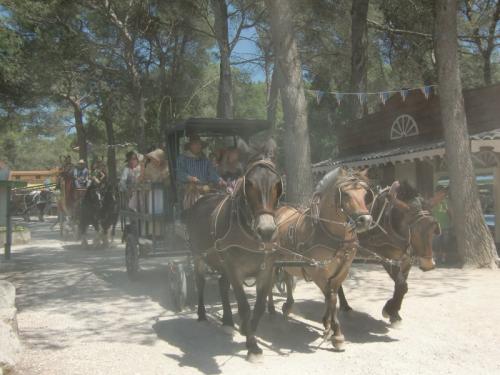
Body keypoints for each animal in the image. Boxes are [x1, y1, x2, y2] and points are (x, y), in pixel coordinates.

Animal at [186, 140, 284, 362]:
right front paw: (253, 346)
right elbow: (245, 306)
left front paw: (247, 332)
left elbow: (259, 306)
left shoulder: (266, 269)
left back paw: (228, 321)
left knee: (222, 284)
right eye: (249, 184)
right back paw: (202, 314)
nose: (266, 231)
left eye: (277, 183)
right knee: (200, 282)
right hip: (199, 256)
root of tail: (203, 198)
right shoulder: (235, 269)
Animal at [270, 169, 372, 352]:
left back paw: (288, 305)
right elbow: (331, 298)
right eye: (346, 194)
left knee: (287, 279)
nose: (365, 221)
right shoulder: (317, 271)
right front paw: (336, 333)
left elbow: (332, 296)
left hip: (288, 261)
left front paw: (327, 324)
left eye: (365, 193)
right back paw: (270, 308)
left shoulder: (342, 271)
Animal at [338, 181, 440, 326]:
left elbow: (401, 285)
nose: (429, 264)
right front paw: (389, 310)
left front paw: (394, 313)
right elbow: (402, 285)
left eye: (433, 228)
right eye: (414, 230)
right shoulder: (383, 256)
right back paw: (345, 306)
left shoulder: (406, 257)